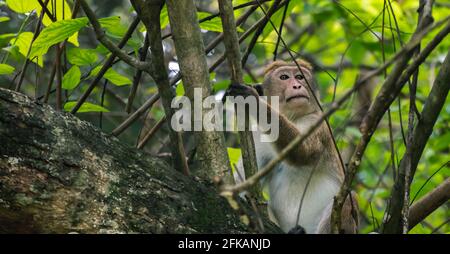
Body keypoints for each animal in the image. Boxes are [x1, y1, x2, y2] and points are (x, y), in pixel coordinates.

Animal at [227, 59, 360, 234]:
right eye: (284, 77)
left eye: (300, 77)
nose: (297, 85)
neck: (293, 117)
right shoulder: (258, 138)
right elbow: (243, 184)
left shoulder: (318, 123)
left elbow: (301, 151)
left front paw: (253, 101)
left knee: (349, 200)